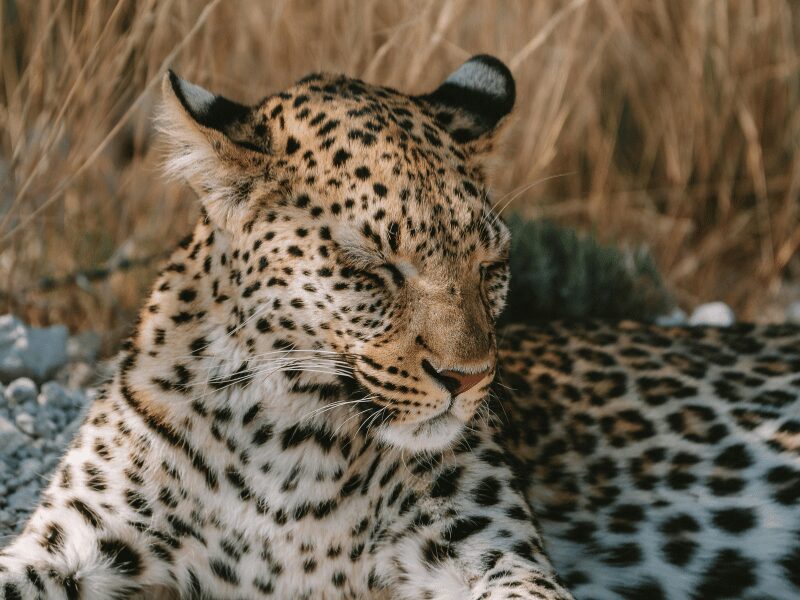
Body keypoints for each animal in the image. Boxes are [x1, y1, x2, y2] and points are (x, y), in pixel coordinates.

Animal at [0, 53, 798, 600]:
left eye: (491, 264)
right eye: (372, 268)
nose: (469, 380)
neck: (284, 436)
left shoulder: (486, 553)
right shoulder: (70, 544)